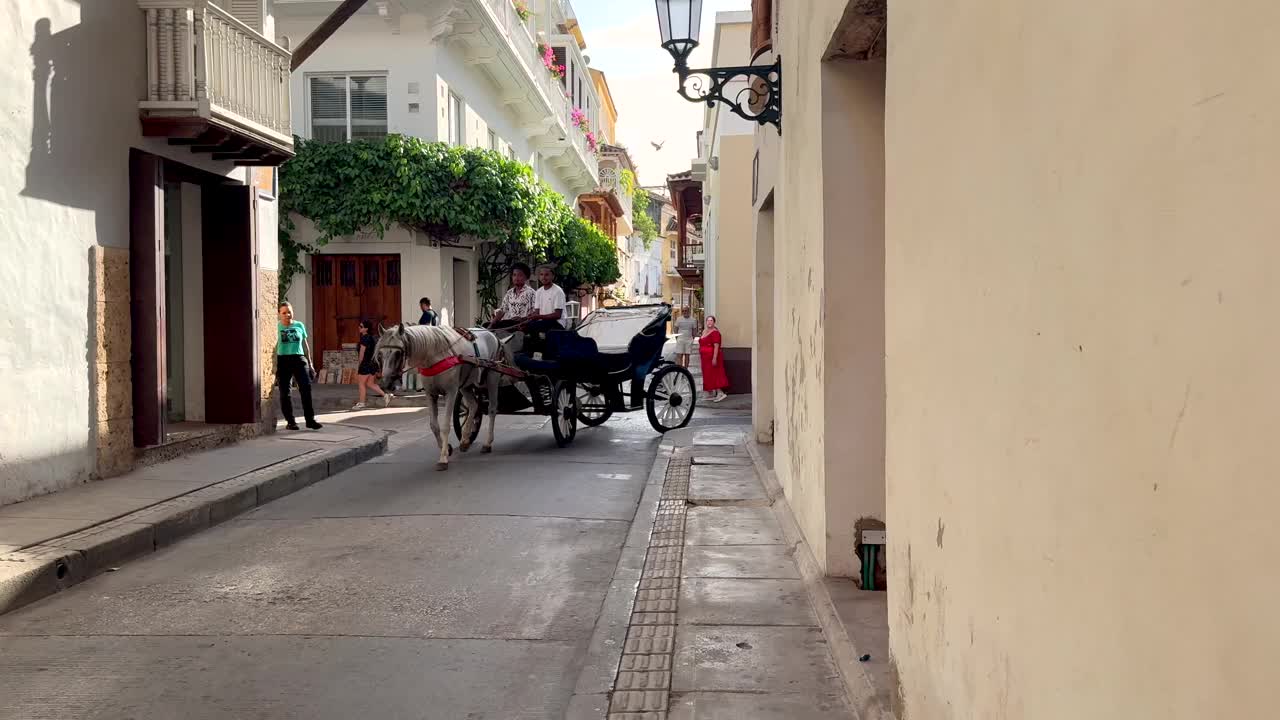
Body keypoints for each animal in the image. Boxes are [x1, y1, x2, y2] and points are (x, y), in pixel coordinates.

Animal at [373, 322, 501, 468]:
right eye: (380, 354)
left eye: (398, 353)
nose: (385, 384)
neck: (434, 356)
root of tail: (491, 333)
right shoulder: (430, 394)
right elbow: (434, 426)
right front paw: (447, 449)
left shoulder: (451, 392)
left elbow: (445, 425)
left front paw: (443, 458)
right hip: (466, 385)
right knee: (474, 405)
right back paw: (465, 440)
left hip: (492, 377)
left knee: (492, 409)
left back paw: (487, 443)